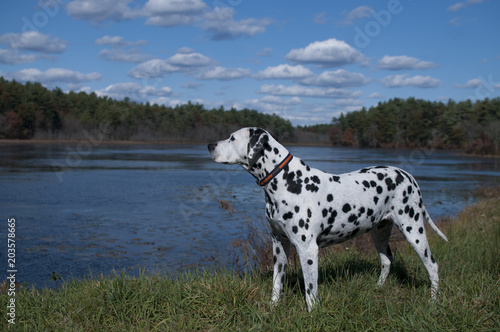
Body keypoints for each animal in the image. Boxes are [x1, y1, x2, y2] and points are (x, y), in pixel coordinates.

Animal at [207, 127, 450, 312]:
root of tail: (408, 176)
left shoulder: (307, 250)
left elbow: (310, 290)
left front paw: (312, 313)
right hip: (379, 232)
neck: (286, 180)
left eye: (232, 138)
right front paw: (273, 307)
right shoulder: (279, 244)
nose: (209, 145)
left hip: (413, 229)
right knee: (387, 260)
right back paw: (379, 288)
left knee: (433, 265)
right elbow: (277, 284)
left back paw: (433, 301)